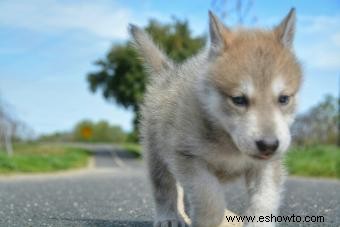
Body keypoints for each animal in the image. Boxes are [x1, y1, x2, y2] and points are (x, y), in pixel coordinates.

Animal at [129, 7, 302, 227]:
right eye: (238, 99)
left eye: (283, 99)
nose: (269, 145)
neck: (229, 142)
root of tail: (169, 74)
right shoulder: (187, 158)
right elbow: (210, 199)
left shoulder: (267, 167)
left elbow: (265, 200)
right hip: (156, 154)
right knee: (164, 188)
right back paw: (168, 217)